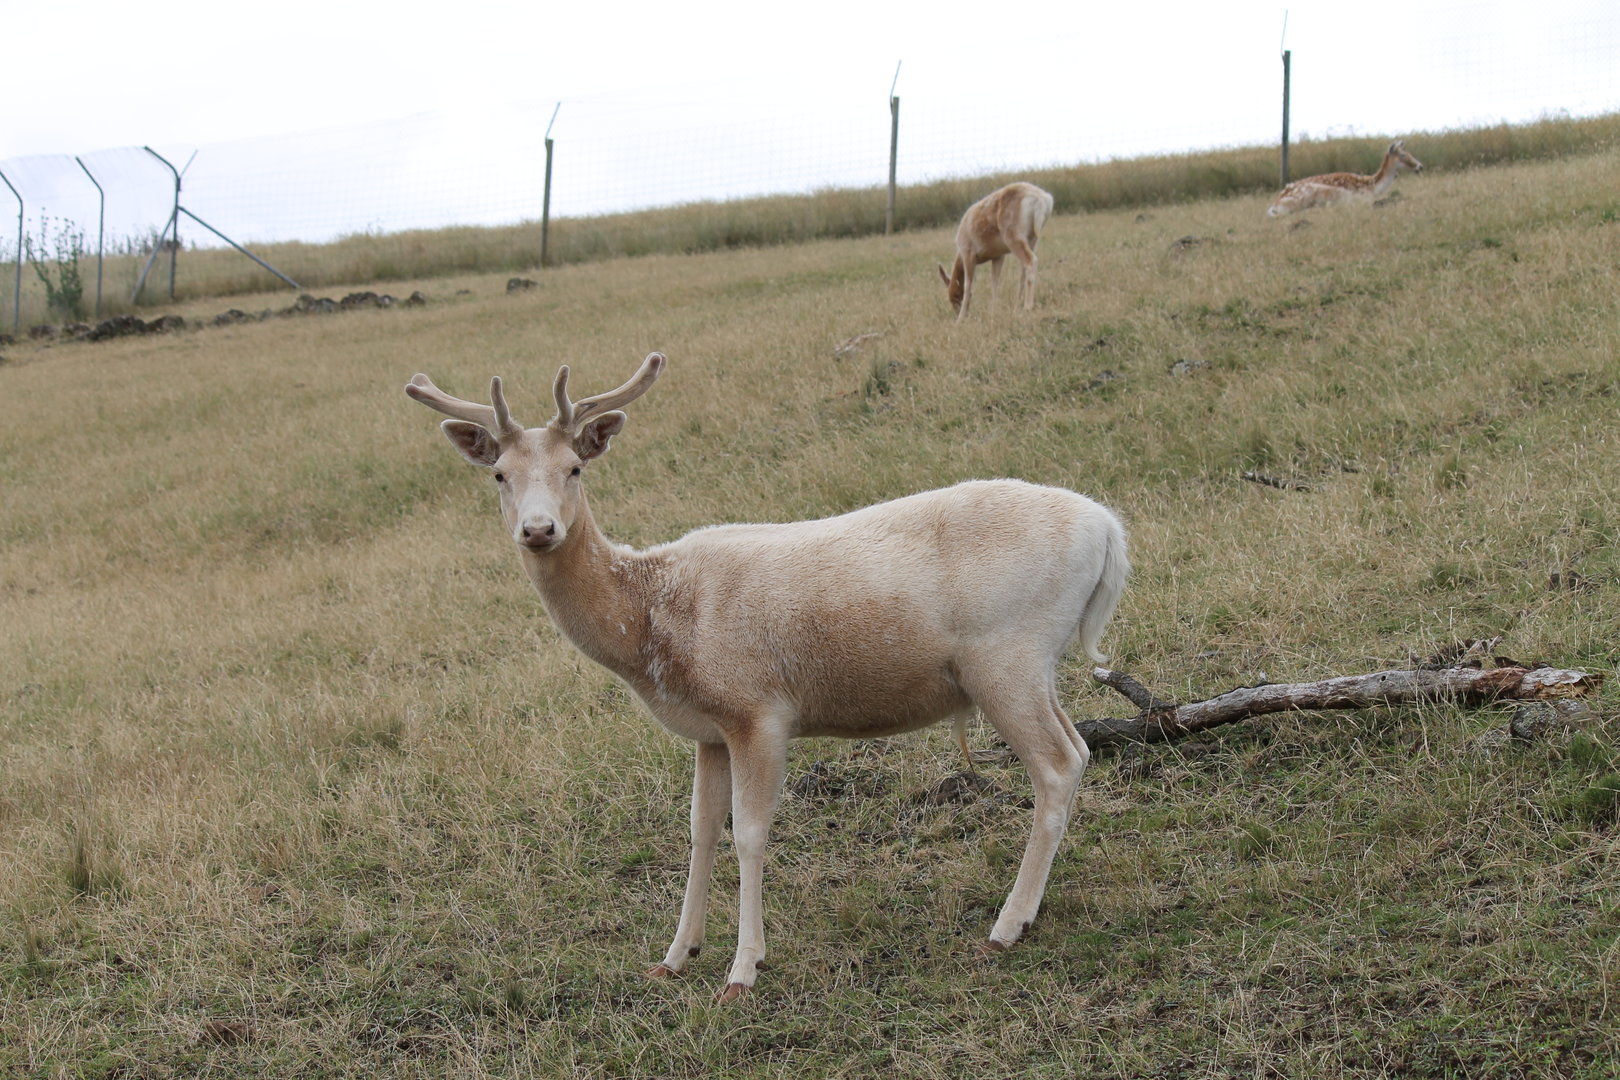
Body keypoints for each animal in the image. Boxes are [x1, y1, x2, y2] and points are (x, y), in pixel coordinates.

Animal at [404, 352, 1129, 1002]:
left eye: (574, 468)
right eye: (499, 474)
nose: (539, 528)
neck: (657, 624)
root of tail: (1110, 531)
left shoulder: (758, 711)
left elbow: (749, 834)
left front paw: (742, 972)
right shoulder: (709, 731)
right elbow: (699, 830)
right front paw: (674, 957)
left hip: (1005, 657)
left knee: (1058, 764)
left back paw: (1006, 927)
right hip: (1035, 667)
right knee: (1081, 748)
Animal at [938, 181, 1054, 321]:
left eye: (954, 296)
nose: (956, 313)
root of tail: (1043, 199)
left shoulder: (968, 253)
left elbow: (967, 285)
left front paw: (960, 320)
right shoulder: (998, 256)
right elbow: (994, 281)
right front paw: (994, 310)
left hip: (1013, 236)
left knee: (1031, 260)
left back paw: (1027, 306)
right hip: (1032, 238)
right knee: (1024, 268)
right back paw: (1018, 304)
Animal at [1267, 139, 1425, 216]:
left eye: (1409, 153)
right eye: (1403, 155)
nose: (1420, 166)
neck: (1372, 185)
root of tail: (1275, 205)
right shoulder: (1362, 199)